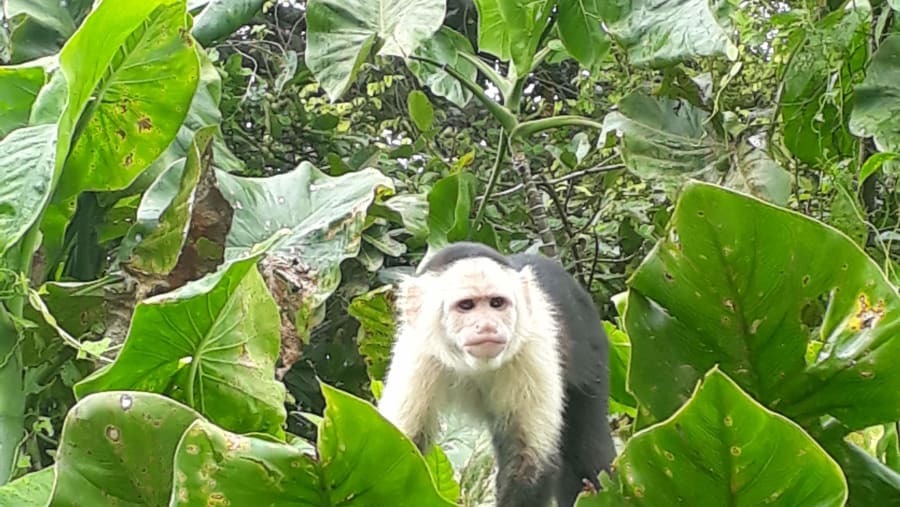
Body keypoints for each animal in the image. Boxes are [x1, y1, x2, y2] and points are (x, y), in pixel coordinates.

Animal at [377, 241, 616, 507]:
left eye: (496, 303)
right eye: (466, 305)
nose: (487, 326)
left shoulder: (532, 347)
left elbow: (529, 463)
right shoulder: (418, 351)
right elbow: (398, 450)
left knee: (588, 453)